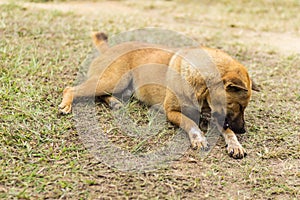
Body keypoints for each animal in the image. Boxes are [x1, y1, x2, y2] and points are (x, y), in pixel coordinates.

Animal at [59, 32, 258, 159]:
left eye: (244, 108)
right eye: (239, 105)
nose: (243, 130)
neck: (201, 87)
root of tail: (108, 49)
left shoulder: (215, 114)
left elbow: (227, 130)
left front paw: (235, 144)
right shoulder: (172, 112)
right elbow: (191, 123)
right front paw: (199, 138)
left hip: (121, 87)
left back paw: (114, 103)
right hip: (112, 80)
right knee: (71, 89)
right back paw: (66, 105)